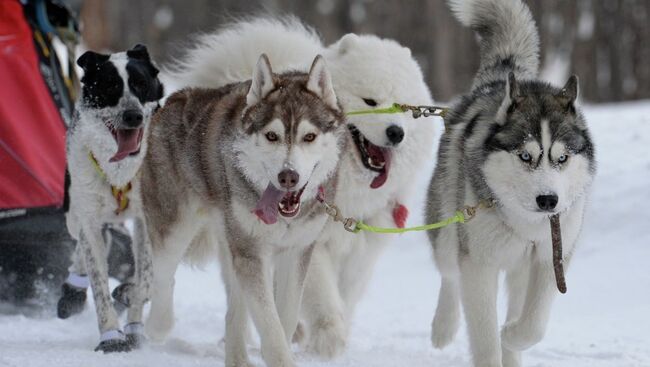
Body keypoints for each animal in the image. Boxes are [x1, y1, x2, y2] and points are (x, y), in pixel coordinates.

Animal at [60, 43, 163, 354]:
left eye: (141, 84)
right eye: (109, 87)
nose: (132, 115)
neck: (120, 173)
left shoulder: (148, 220)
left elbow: (146, 277)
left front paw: (130, 296)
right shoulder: (88, 218)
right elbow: (99, 284)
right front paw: (111, 337)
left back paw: (134, 327)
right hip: (75, 214)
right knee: (88, 244)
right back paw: (74, 288)